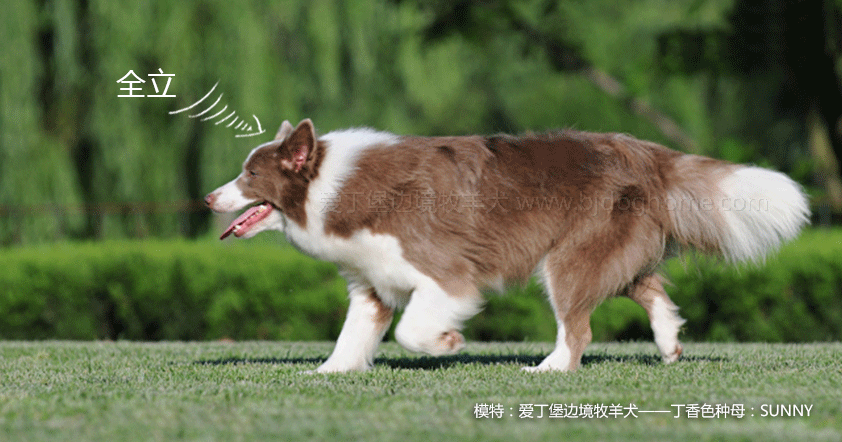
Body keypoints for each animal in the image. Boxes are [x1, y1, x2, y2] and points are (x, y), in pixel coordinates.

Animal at [203, 118, 808, 372]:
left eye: (249, 175)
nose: (209, 198)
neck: (331, 182)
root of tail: (644, 151)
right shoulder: (372, 281)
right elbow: (355, 333)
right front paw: (329, 372)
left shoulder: (444, 272)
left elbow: (412, 329)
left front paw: (447, 343)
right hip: (609, 248)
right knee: (650, 287)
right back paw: (669, 346)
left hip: (566, 257)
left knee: (579, 326)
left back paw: (551, 369)